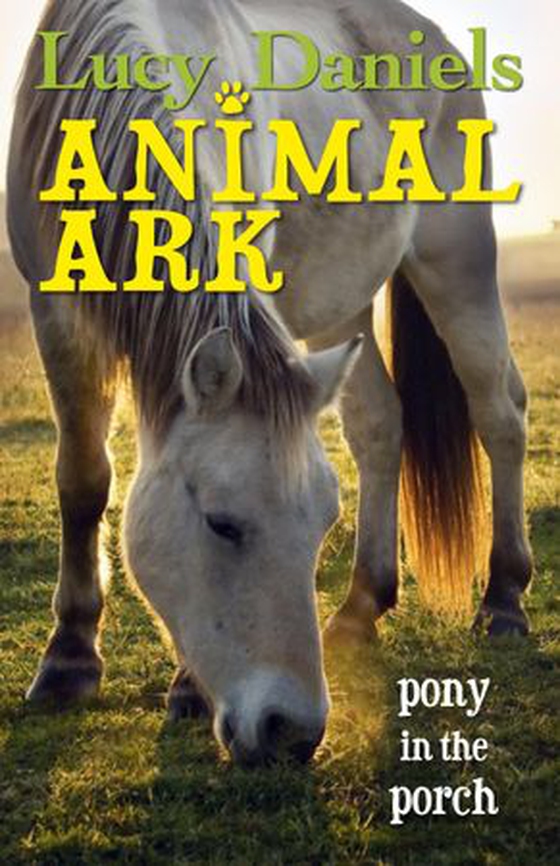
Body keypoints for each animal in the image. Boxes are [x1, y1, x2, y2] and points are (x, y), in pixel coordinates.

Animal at [7, 0, 532, 766]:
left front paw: (185, 689)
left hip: (456, 262)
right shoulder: (56, 309)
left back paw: (504, 599)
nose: (293, 731)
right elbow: (82, 479)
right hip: (344, 309)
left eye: (320, 524)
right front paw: (69, 659)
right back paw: (361, 607)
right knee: (379, 426)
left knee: (500, 413)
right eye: (222, 524)